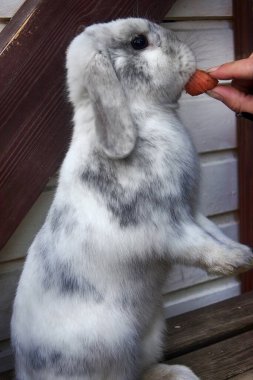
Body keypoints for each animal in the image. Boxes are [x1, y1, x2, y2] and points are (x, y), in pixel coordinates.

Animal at [11, 17, 253, 380]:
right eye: (139, 42)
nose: (187, 53)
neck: (145, 115)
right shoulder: (166, 226)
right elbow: (199, 246)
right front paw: (236, 262)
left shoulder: (190, 211)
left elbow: (213, 232)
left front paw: (242, 251)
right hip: (112, 347)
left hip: (150, 334)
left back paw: (176, 373)